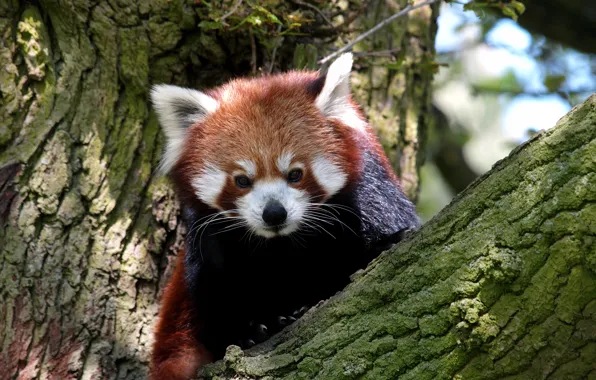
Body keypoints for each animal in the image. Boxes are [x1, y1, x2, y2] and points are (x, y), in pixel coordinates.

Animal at [149, 54, 420, 380]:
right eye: (242, 180)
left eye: (295, 174)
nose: (274, 213)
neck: (282, 245)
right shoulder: (209, 246)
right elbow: (218, 300)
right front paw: (251, 330)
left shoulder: (370, 196)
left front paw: (386, 244)